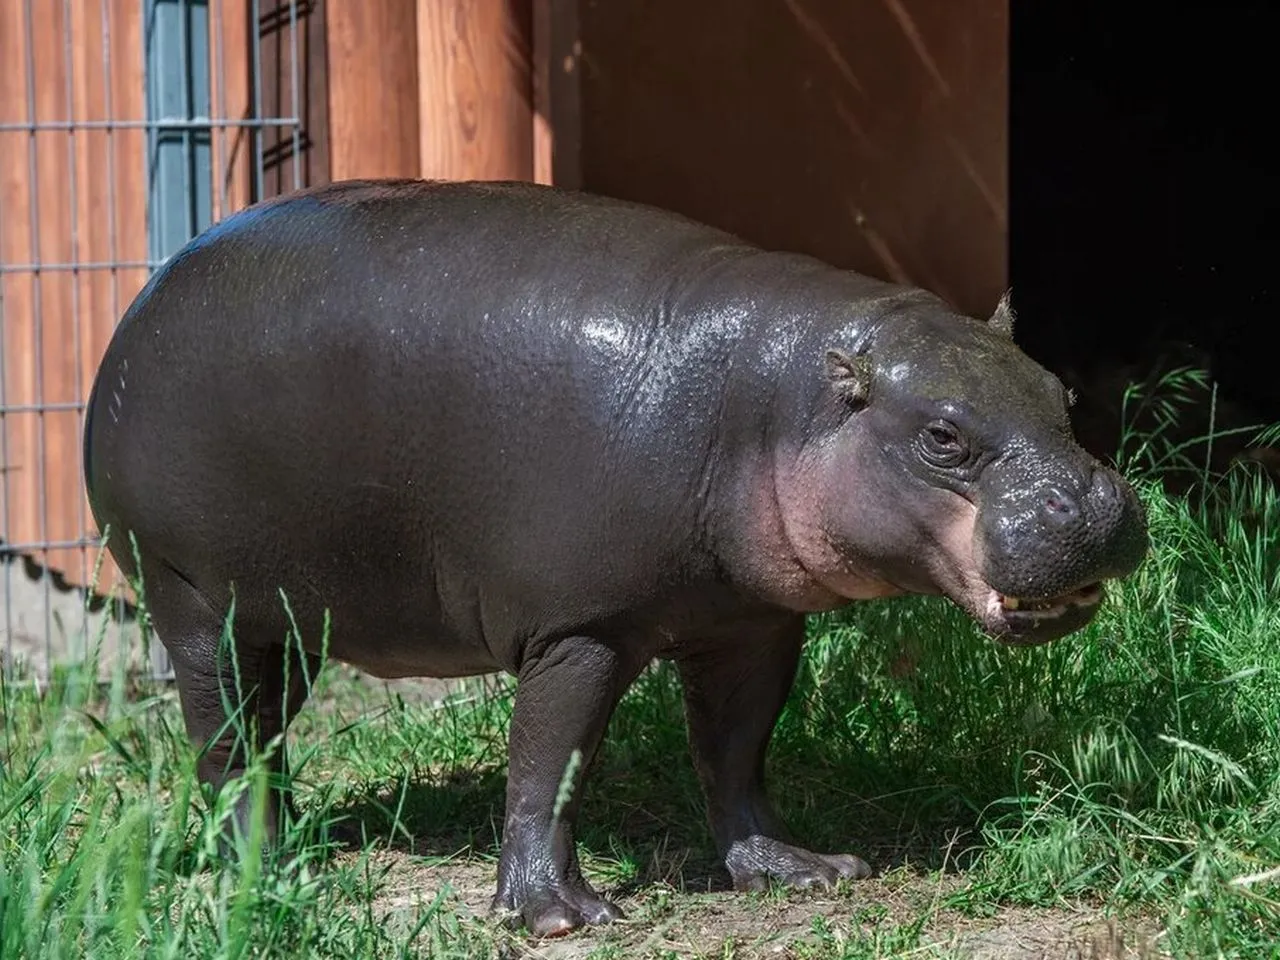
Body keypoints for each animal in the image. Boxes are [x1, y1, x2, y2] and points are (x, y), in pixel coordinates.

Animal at [87, 180, 1152, 942]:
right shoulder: (578, 629)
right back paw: (269, 865)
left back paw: (302, 832)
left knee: (266, 725)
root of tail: (137, 306)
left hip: (292, 618)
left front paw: (803, 871)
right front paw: (563, 917)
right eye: (942, 437)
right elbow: (548, 765)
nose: (1101, 504)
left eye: (1057, 391)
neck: (781, 401)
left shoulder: (751, 623)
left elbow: (736, 752)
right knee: (223, 736)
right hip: (194, 600)